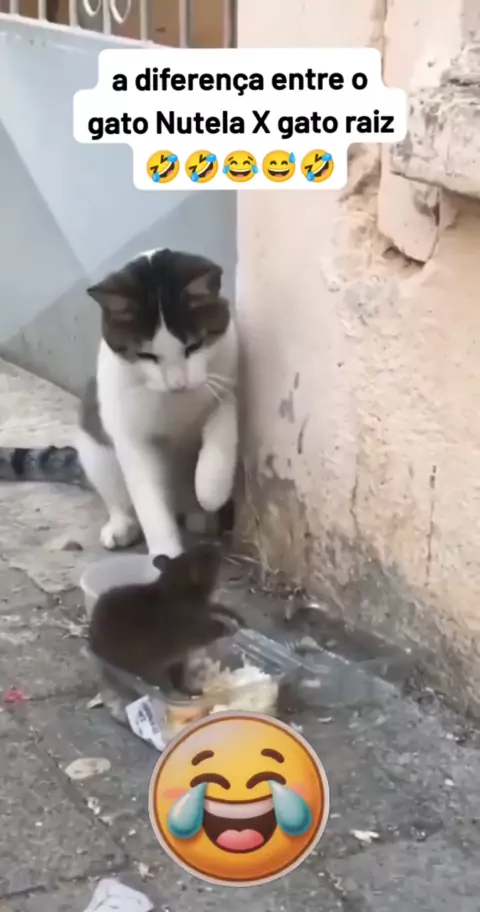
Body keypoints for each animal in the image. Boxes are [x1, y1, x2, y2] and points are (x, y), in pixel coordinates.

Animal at [0, 248, 239, 556]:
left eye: (194, 346)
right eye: (147, 355)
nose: (177, 384)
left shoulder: (226, 383)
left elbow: (221, 432)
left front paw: (211, 489)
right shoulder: (131, 436)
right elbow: (150, 502)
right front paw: (166, 555)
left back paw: (201, 516)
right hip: (95, 446)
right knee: (118, 495)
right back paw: (122, 524)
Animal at [88, 542, 243, 693]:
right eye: (207, 556)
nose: (217, 546)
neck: (177, 583)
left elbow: (218, 607)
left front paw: (236, 617)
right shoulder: (194, 626)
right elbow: (212, 628)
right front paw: (231, 627)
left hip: (178, 661)